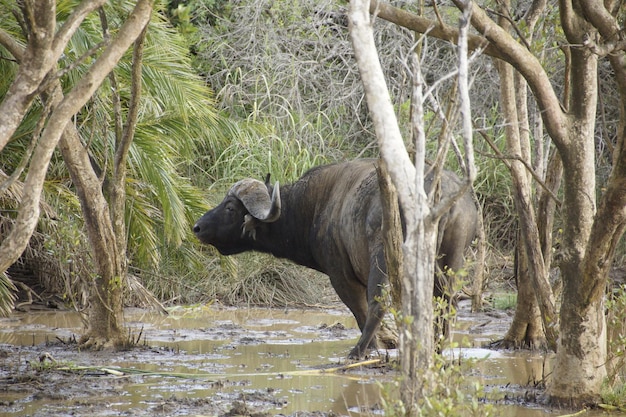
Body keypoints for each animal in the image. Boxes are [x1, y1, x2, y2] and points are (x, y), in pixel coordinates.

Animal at [193, 159, 476, 358]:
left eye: (230, 208)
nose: (197, 227)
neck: (317, 205)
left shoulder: (341, 277)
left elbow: (360, 311)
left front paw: (373, 347)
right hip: (451, 263)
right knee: (446, 304)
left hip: (383, 260)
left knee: (378, 304)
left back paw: (356, 352)